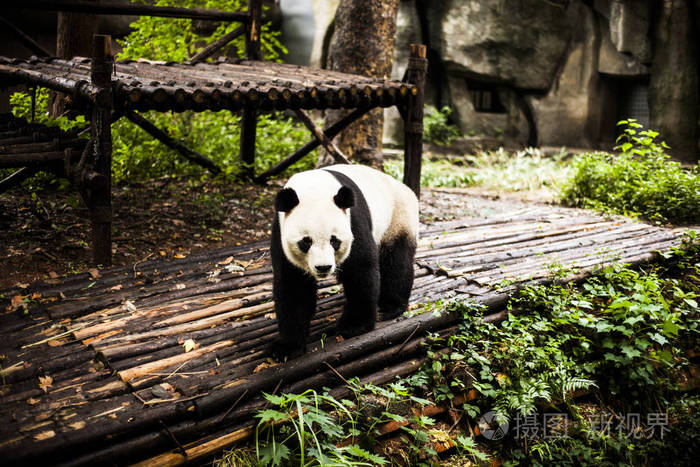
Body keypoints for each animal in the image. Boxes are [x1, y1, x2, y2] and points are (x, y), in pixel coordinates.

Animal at [270, 165, 418, 362]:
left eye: (334, 240)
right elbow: (293, 287)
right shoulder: (280, 232)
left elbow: (360, 270)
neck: (313, 188)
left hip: (398, 217)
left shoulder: (352, 221)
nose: (323, 267)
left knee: (396, 261)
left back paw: (389, 306)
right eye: (306, 241)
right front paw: (288, 347)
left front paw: (353, 326)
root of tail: (404, 187)